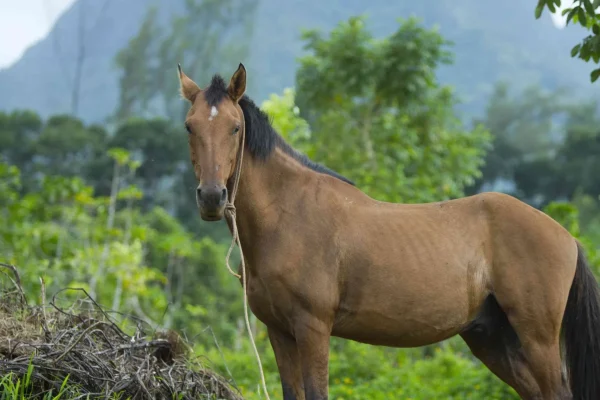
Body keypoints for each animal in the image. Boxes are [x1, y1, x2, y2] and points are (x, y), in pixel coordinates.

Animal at [177, 63, 600, 400]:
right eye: (189, 127)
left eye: (234, 128)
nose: (212, 197)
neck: (288, 213)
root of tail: (566, 237)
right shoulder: (279, 331)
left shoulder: (313, 328)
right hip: (491, 338)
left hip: (538, 339)